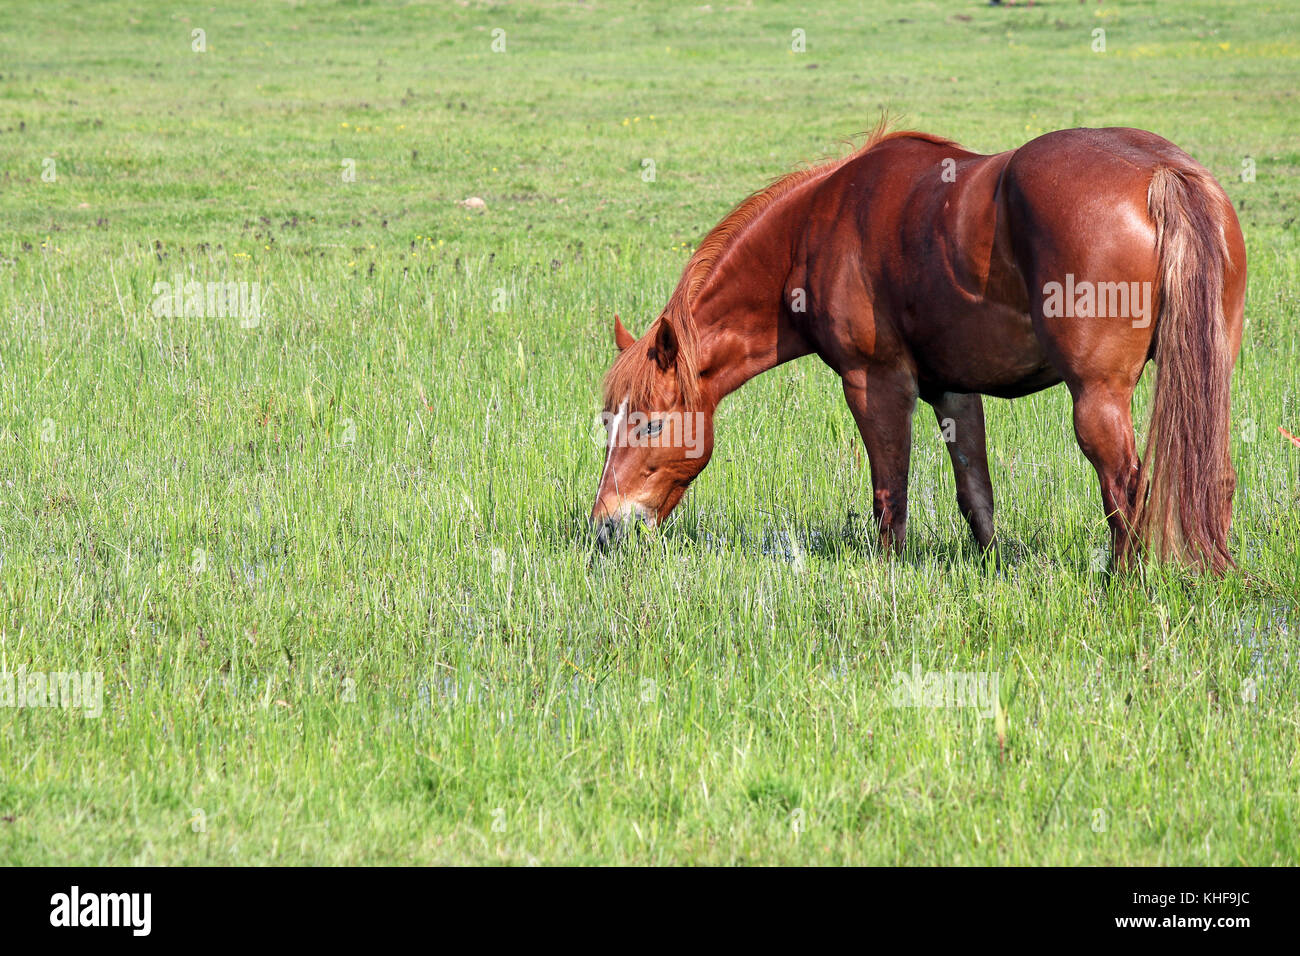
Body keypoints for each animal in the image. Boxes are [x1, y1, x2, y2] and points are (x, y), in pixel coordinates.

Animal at [590, 124, 1246, 573]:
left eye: (650, 424)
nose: (604, 528)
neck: (818, 225)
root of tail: (1161, 171)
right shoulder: (952, 390)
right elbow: (976, 495)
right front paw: (991, 570)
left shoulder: (874, 382)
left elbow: (890, 492)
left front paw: (887, 572)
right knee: (1212, 477)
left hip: (1097, 397)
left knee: (1124, 486)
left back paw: (1124, 582)